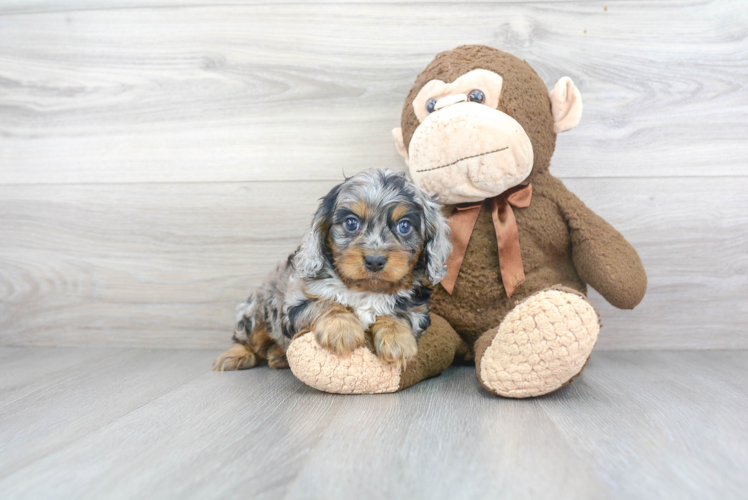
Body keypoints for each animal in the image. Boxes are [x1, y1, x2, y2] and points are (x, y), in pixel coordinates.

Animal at [213, 168, 452, 372]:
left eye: (404, 226)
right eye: (351, 223)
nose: (374, 261)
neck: (365, 290)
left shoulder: (418, 309)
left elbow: (399, 314)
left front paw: (397, 340)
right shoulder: (294, 302)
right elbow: (327, 303)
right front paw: (342, 329)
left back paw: (278, 356)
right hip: (256, 313)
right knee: (247, 339)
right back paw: (235, 356)